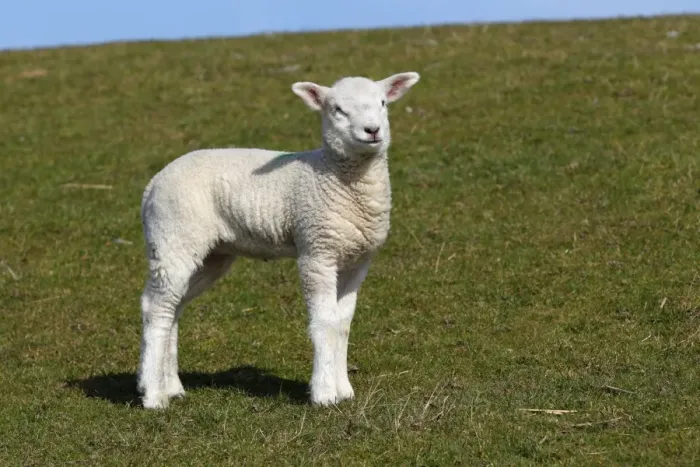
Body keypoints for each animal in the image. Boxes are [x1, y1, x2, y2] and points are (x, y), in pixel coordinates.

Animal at [137, 71, 420, 409]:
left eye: (383, 103)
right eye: (337, 110)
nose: (372, 130)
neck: (335, 176)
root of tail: (153, 183)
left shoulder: (357, 261)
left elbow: (341, 323)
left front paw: (345, 390)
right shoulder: (316, 252)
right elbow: (323, 322)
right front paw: (324, 394)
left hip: (208, 254)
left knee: (172, 307)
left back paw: (170, 386)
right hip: (173, 237)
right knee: (156, 308)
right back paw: (153, 395)